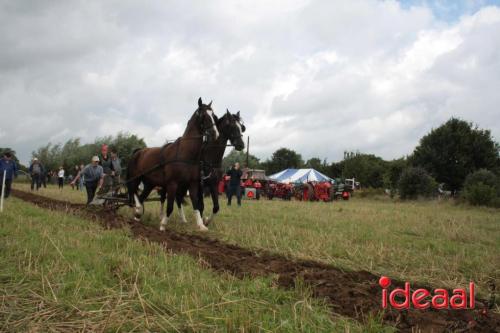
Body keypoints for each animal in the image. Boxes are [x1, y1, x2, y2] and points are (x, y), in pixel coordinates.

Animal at [126, 97, 218, 230]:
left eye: (214, 115)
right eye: (204, 115)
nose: (215, 134)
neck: (185, 154)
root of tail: (138, 151)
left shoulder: (193, 184)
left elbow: (196, 204)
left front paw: (201, 225)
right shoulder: (172, 184)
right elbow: (170, 207)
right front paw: (163, 225)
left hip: (149, 183)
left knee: (142, 196)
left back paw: (137, 217)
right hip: (136, 178)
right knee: (134, 192)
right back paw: (138, 209)